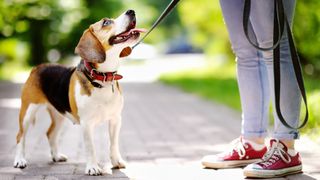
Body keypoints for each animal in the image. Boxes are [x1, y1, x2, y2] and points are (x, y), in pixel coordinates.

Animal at [12, 9, 145, 176]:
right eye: (106, 22)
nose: (131, 11)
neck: (103, 78)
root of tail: (38, 67)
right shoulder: (87, 124)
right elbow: (91, 147)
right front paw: (93, 167)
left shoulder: (115, 119)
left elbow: (113, 144)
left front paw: (116, 162)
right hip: (27, 112)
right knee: (20, 136)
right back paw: (20, 160)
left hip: (59, 114)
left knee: (50, 133)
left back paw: (56, 156)